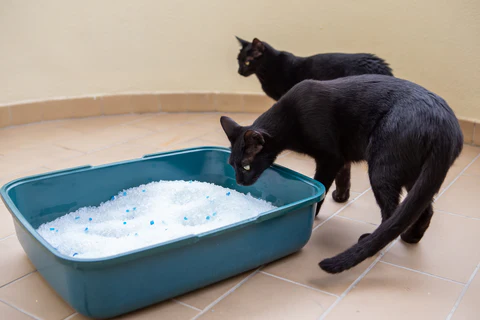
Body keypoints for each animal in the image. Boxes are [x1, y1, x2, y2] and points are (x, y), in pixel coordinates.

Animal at [219, 74, 464, 272]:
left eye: (246, 166)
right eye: (232, 164)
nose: (239, 181)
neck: (290, 118)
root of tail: (445, 126)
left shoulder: (330, 157)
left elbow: (320, 189)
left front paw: (313, 215)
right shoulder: (341, 157)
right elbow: (343, 177)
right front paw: (341, 196)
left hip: (382, 169)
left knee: (392, 211)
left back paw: (371, 241)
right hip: (417, 176)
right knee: (423, 209)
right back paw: (411, 237)